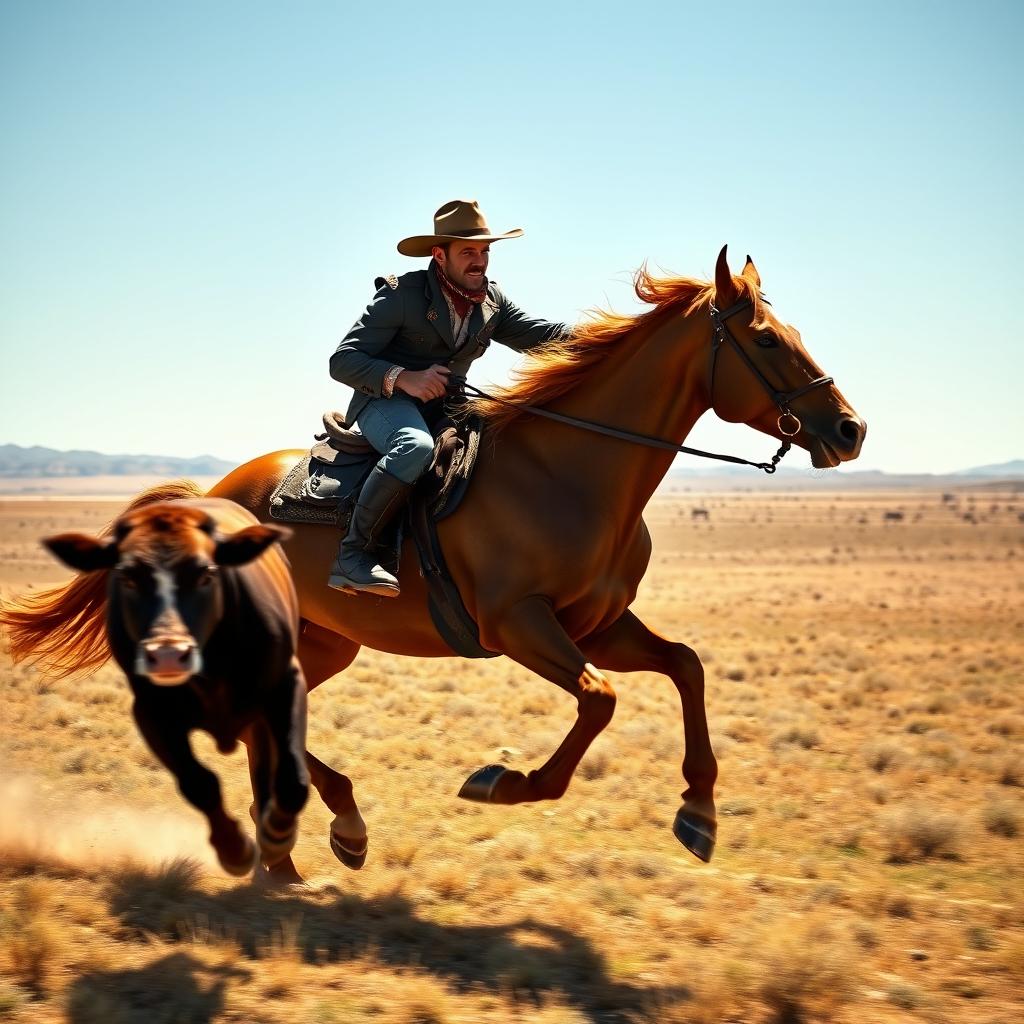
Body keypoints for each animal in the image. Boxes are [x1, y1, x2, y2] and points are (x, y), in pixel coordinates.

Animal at [2, 249, 864, 880]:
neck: (571, 473)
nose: (849, 429)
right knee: (254, 724)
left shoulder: (600, 624)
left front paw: (699, 811)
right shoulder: (520, 626)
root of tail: (206, 499)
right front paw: (501, 783)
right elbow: (600, 701)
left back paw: (294, 848)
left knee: (261, 725)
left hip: (326, 644)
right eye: (765, 339)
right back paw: (320, 831)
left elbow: (684, 666)